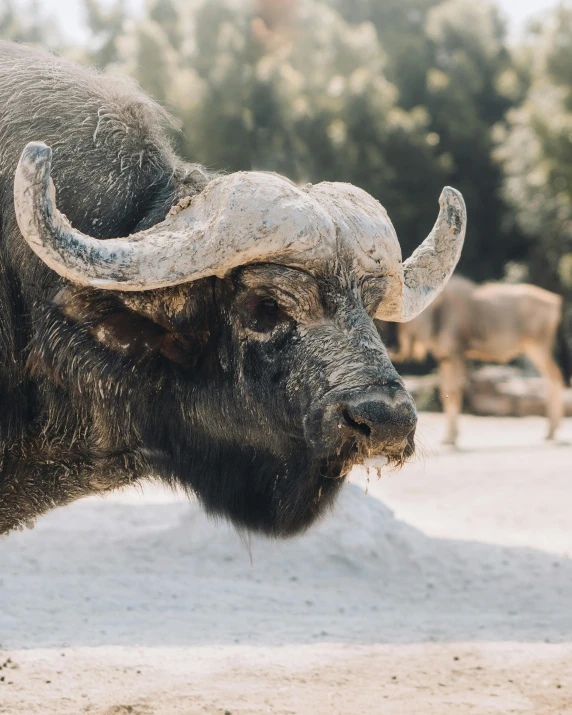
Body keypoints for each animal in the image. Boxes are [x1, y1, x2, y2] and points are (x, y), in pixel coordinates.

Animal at [388, 276, 568, 444]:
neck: (437, 309)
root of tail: (556, 302)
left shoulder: (456, 355)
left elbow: (454, 393)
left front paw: (452, 438)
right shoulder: (446, 359)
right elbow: (445, 392)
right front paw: (449, 436)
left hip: (538, 348)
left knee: (555, 377)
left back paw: (551, 431)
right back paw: (552, 429)